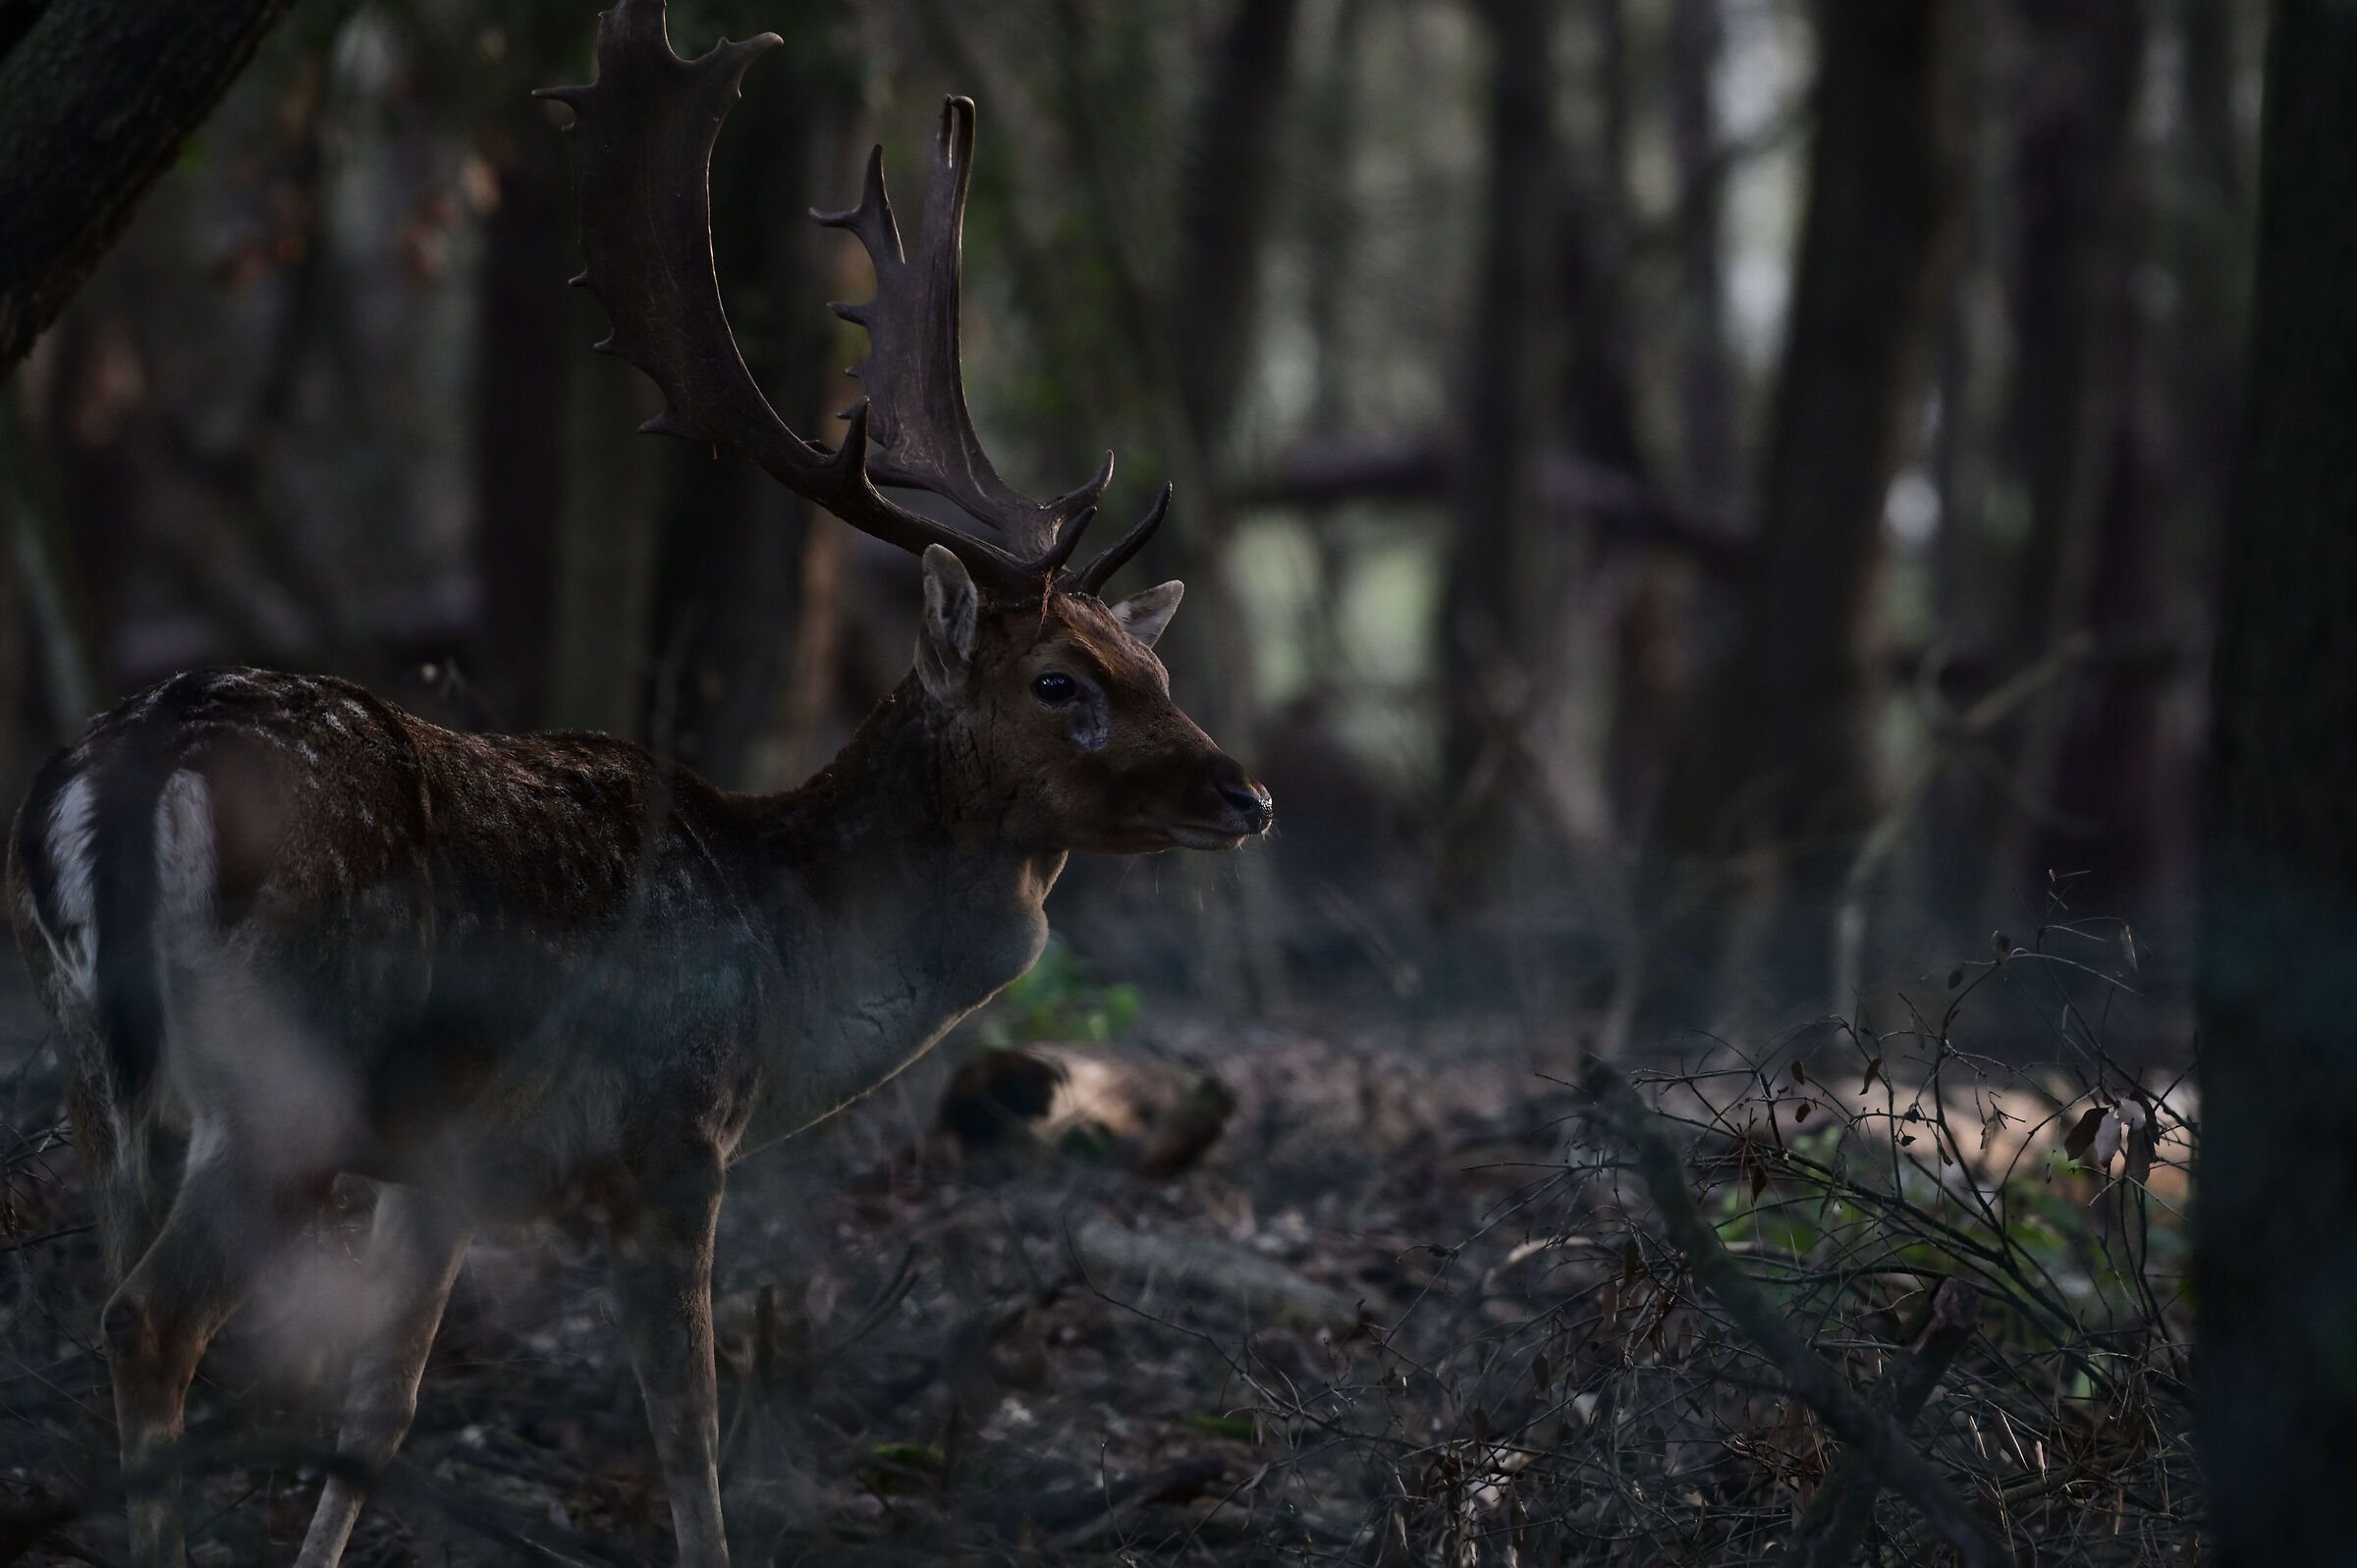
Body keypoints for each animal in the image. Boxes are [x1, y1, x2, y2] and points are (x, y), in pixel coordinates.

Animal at [5, 4, 1271, 1564]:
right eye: (1061, 683)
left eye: (1150, 663)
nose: (1244, 794)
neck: (786, 958)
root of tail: (115, 781)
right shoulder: (674, 1140)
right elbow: (689, 1431)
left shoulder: (444, 1176)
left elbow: (378, 1415)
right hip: (279, 1082)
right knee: (152, 1320)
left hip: (87, 1063)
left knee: (113, 1290)